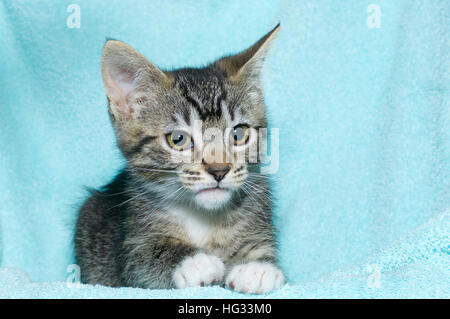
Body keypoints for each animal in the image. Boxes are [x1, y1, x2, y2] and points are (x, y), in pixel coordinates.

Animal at [74, 24, 284, 296]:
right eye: (178, 139)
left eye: (239, 134)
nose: (219, 170)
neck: (202, 215)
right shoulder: (130, 248)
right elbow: (142, 259)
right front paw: (195, 262)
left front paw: (257, 267)